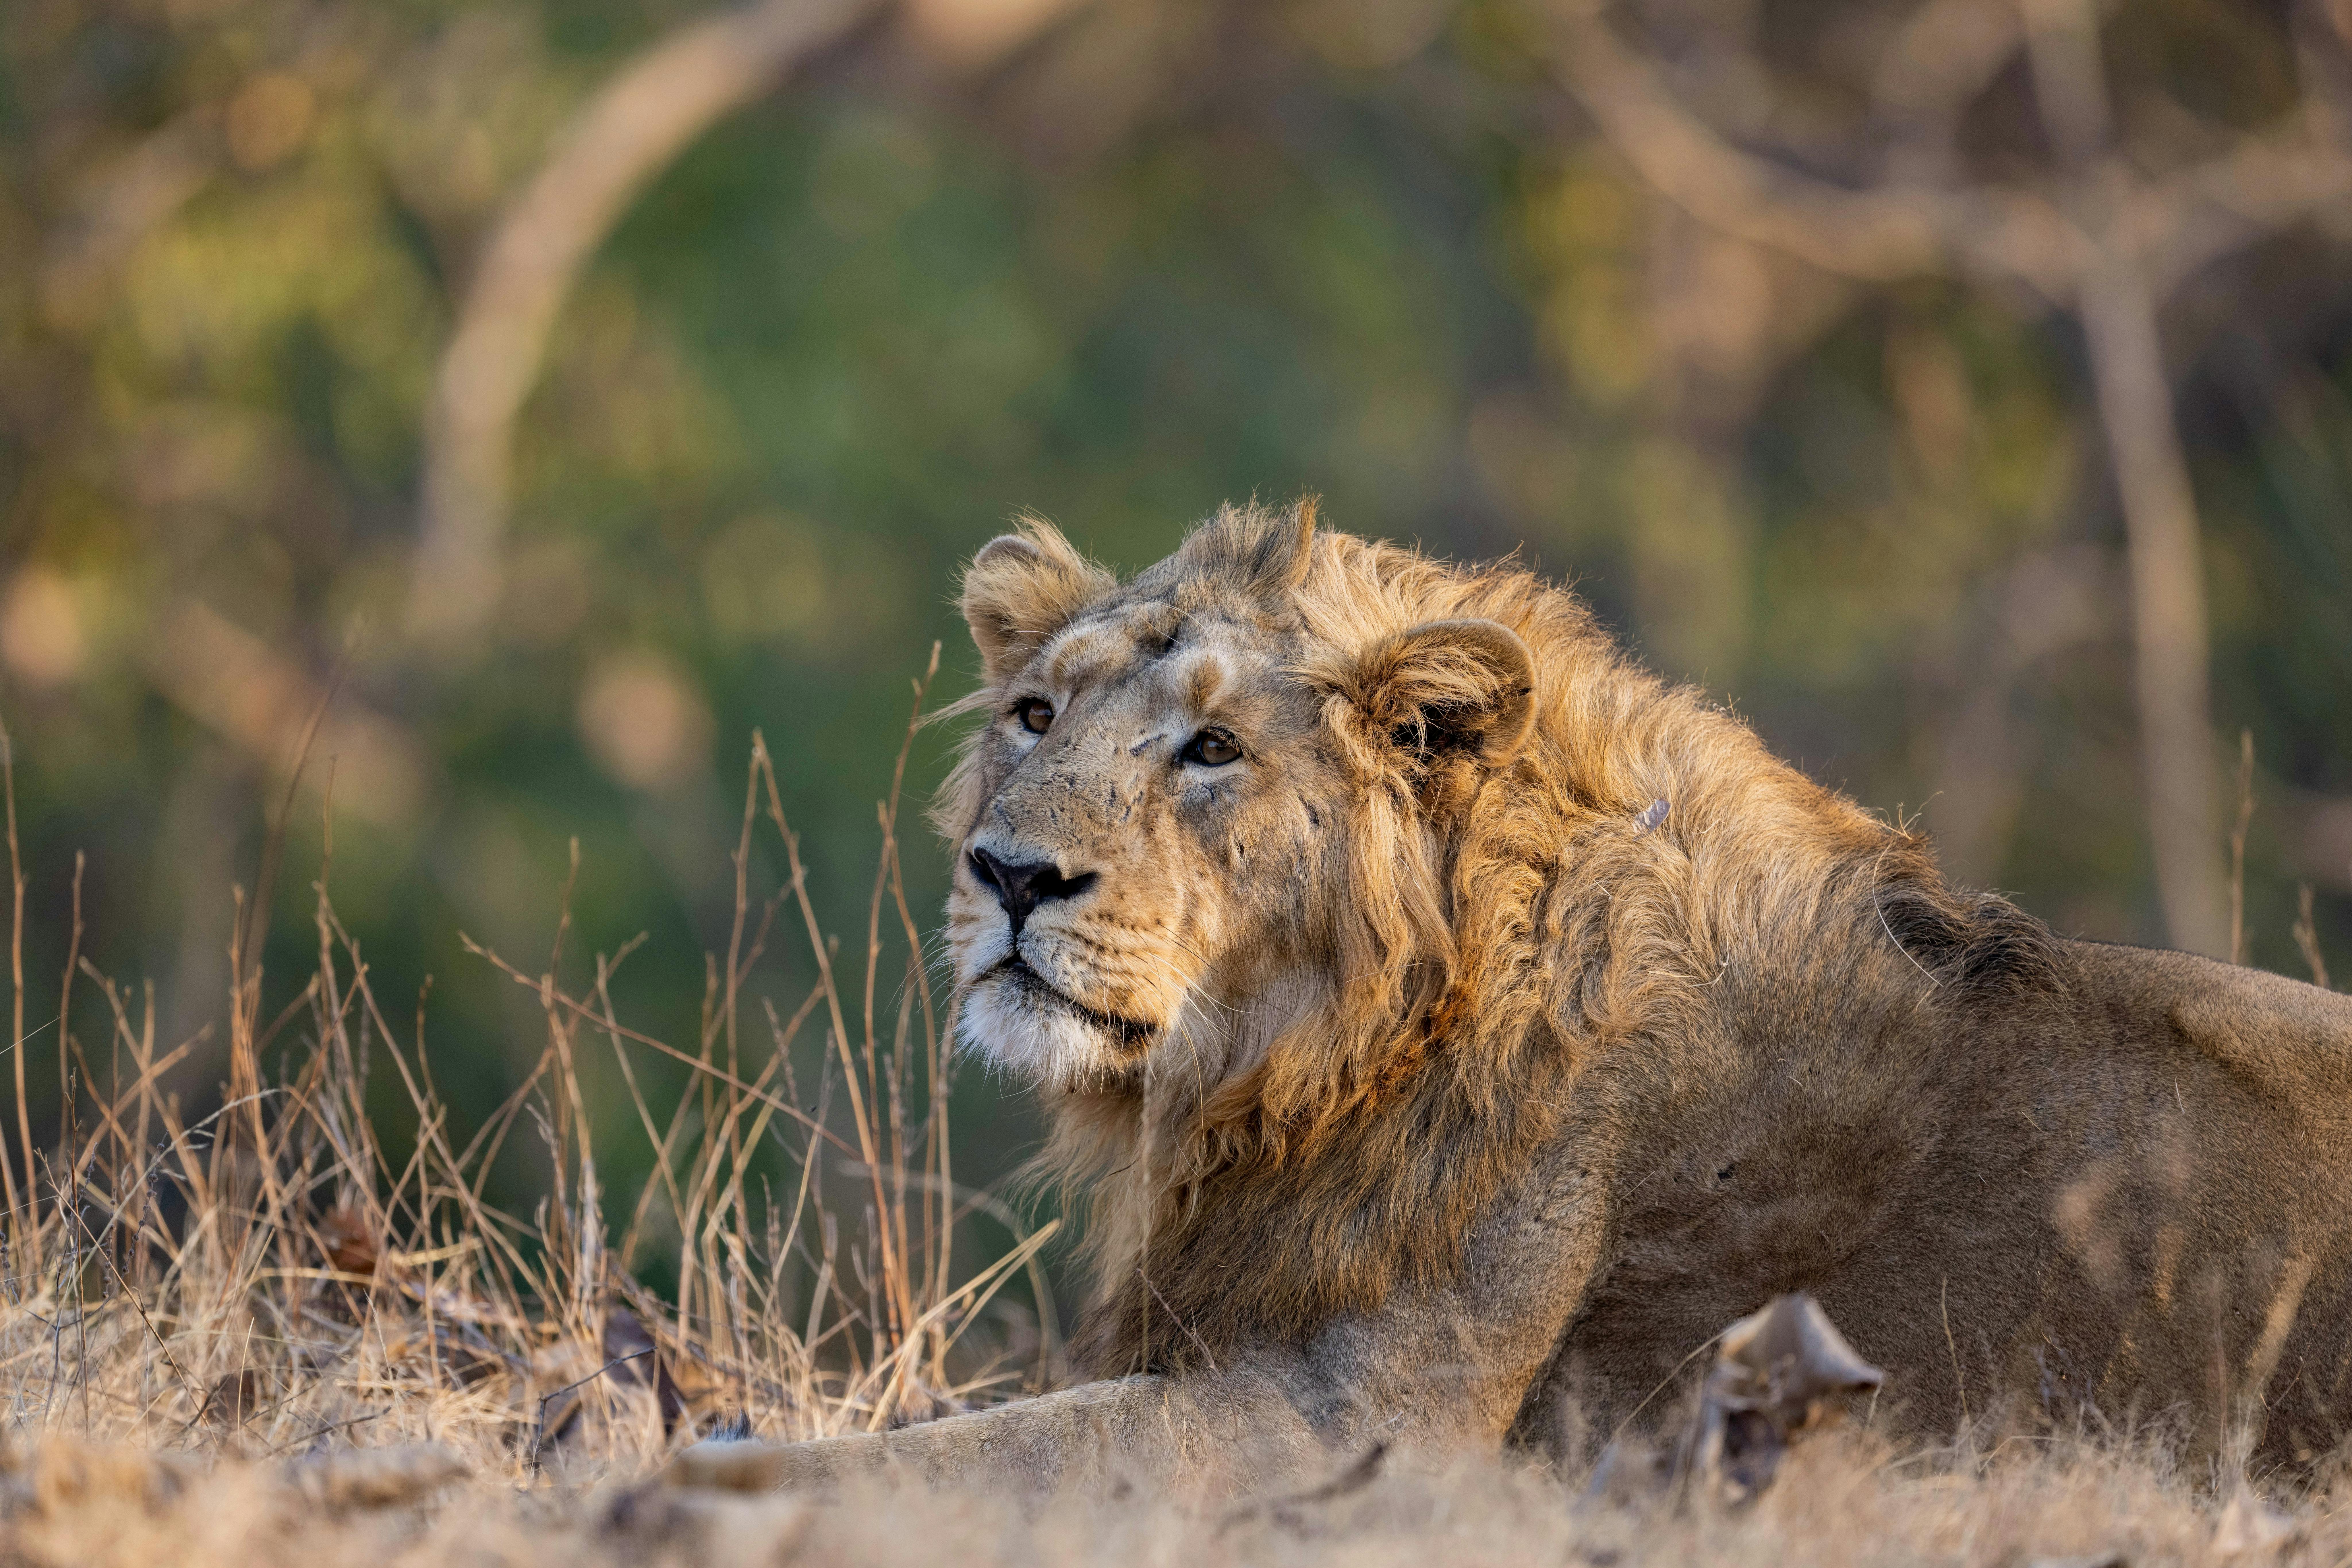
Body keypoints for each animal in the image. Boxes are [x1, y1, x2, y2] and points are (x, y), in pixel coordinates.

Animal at [674, 501, 2352, 1497]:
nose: (1012, 874)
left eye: (1212, 750)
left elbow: (986, 1460)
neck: (1295, 1071)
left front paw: (711, 1478)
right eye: (1033, 716)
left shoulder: (1373, 1431)